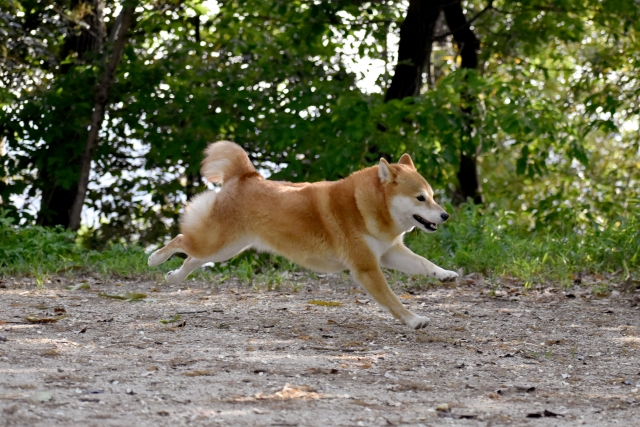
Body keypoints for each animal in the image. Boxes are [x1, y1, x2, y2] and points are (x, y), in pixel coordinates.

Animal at [149, 142, 460, 330]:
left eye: (432, 196)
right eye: (420, 198)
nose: (445, 215)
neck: (365, 207)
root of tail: (246, 176)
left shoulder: (389, 253)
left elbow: (424, 264)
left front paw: (445, 274)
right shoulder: (367, 267)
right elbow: (392, 300)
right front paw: (413, 319)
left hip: (227, 248)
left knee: (192, 259)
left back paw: (174, 277)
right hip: (217, 243)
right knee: (181, 241)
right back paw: (154, 258)